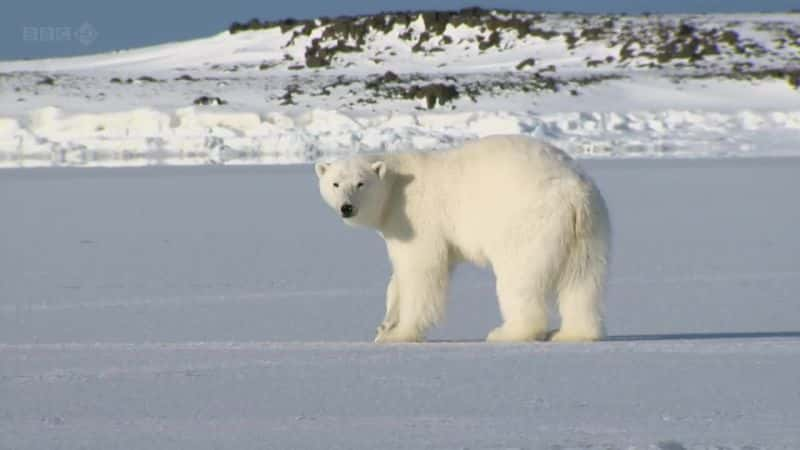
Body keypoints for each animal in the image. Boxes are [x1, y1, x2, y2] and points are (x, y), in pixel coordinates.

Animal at [316, 135, 608, 342]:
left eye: (360, 183)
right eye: (335, 183)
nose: (346, 207)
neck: (395, 187)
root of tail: (573, 193)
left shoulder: (416, 218)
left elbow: (421, 271)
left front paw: (401, 333)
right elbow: (398, 278)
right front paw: (385, 326)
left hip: (529, 224)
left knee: (519, 279)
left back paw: (507, 332)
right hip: (589, 231)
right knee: (582, 281)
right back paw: (574, 333)